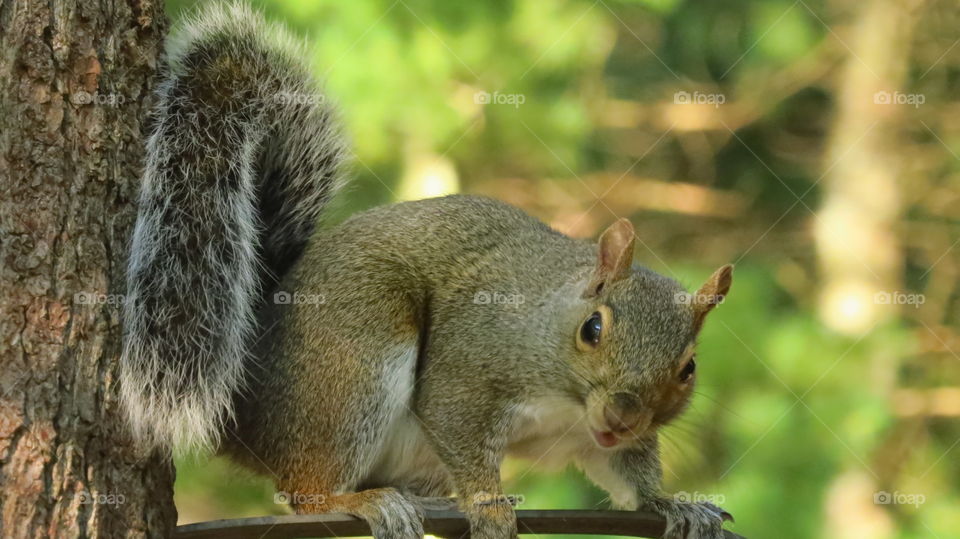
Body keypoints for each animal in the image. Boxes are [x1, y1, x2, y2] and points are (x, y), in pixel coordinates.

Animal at [121, 3, 735, 539]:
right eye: (594, 329)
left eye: (689, 369)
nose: (622, 417)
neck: (569, 401)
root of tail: (242, 404)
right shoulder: (471, 367)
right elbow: (454, 418)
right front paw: (489, 509)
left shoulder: (599, 440)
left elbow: (628, 473)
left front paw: (675, 505)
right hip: (359, 350)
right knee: (305, 492)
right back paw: (366, 502)